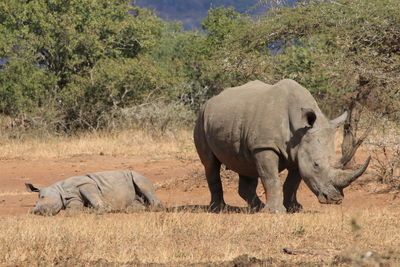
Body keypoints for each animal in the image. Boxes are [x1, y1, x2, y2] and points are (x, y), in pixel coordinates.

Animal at [25, 171, 161, 217]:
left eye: (42, 198)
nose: (35, 212)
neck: (59, 190)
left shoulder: (86, 183)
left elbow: (93, 197)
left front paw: (102, 209)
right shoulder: (72, 199)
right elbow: (72, 210)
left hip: (138, 175)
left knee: (141, 183)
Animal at [194, 79, 368, 214]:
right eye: (316, 165)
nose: (335, 199)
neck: (300, 128)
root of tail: (210, 100)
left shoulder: (299, 152)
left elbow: (292, 183)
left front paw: (295, 208)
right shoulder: (265, 146)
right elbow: (271, 178)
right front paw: (276, 211)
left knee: (245, 164)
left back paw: (257, 208)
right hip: (201, 118)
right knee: (210, 164)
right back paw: (219, 209)